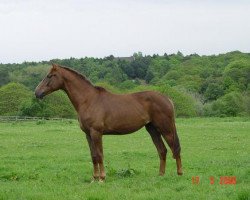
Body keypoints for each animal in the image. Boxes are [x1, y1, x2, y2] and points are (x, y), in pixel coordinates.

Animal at [35, 64, 183, 181]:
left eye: (50, 76)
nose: (37, 92)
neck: (88, 100)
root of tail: (167, 99)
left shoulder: (96, 133)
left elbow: (100, 155)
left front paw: (102, 178)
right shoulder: (88, 134)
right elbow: (94, 155)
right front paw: (94, 178)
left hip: (165, 128)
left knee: (174, 148)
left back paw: (179, 173)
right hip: (152, 129)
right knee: (162, 150)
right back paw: (160, 175)